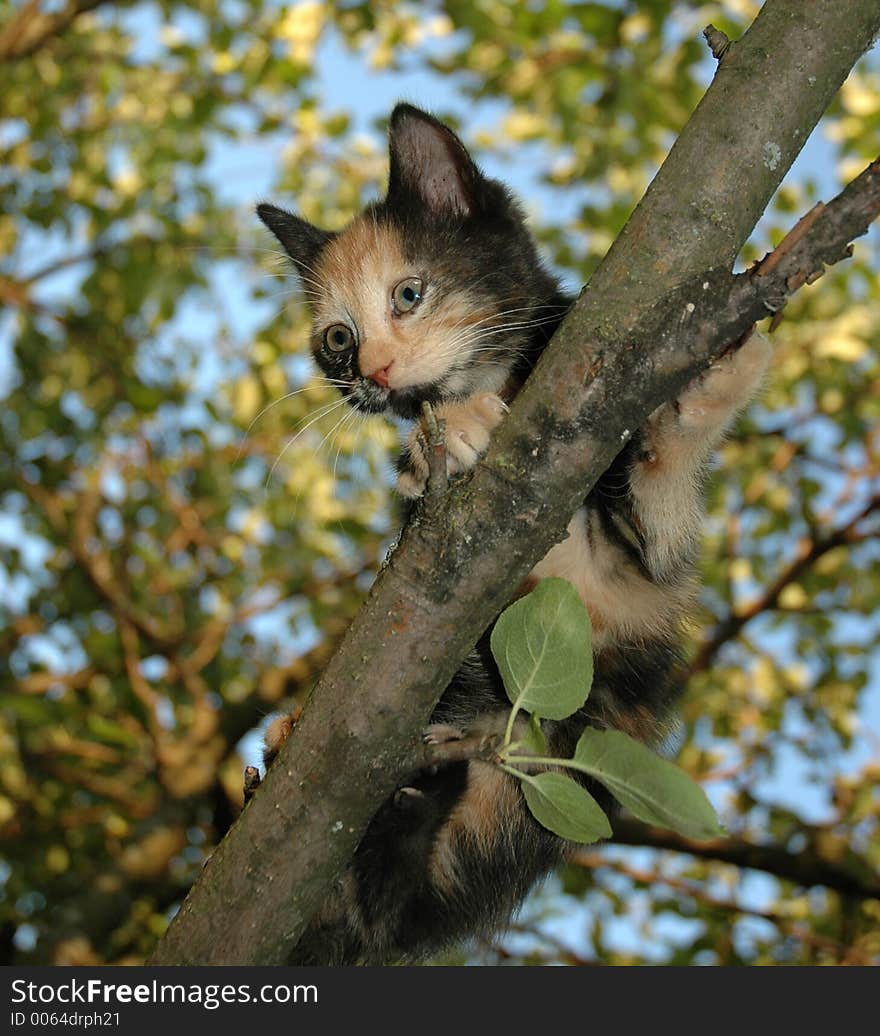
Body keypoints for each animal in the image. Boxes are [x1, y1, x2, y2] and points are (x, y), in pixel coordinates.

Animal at [256, 103, 771, 961]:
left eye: (409, 293)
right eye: (337, 339)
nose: (376, 376)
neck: (498, 376)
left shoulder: (635, 568)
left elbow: (662, 498)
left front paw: (720, 374)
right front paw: (439, 440)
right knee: (384, 910)